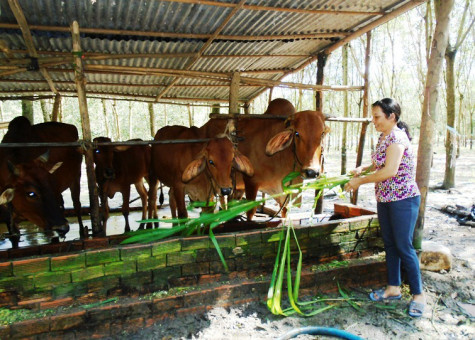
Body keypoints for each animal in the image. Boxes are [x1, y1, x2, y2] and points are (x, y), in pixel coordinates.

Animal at [202, 110, 330, 219]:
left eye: (322, 134)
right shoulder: (251, 182)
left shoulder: (284, 191)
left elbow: (284, 212)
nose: (312, 172)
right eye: (297, 133)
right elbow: (251, 212)